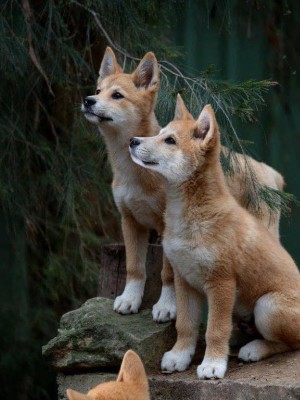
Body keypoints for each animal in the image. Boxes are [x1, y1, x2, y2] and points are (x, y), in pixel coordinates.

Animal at [81, 47, 284, 322]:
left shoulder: (165, 228)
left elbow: (168, 275)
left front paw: (167, 306)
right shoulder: (130, 220)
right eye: (98, 90)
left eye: (117, 95)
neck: (134, 172)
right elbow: (135, 268)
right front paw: (130, 299)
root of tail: (265, 169)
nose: (88, 100)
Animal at [130, 96, 300, 378]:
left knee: (290, 343)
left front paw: (212, 364)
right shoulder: (184, 280)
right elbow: (186, 325)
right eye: (159, 133)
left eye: (170, 141)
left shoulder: (221, 283)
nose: (133, 140)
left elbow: (215, 330)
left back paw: (254, 349)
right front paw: (180, 356)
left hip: (267, 306)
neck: (190, 215)